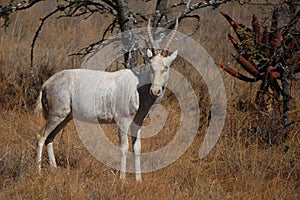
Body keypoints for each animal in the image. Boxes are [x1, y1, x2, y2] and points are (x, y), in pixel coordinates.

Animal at [35, 18, 178, 181]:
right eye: (151, 65)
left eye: (166, 67)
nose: (155, 91)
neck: (138, 87)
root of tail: (46, 84)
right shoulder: (122, 120)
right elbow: (124, 147)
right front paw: (123, 179)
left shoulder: (137, 122)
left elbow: (137, 148)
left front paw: (139, 180)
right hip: (56, 114)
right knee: (41, 136)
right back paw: (38, 172)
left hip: (65, 117)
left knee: (50, 138)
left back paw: (54, 169)